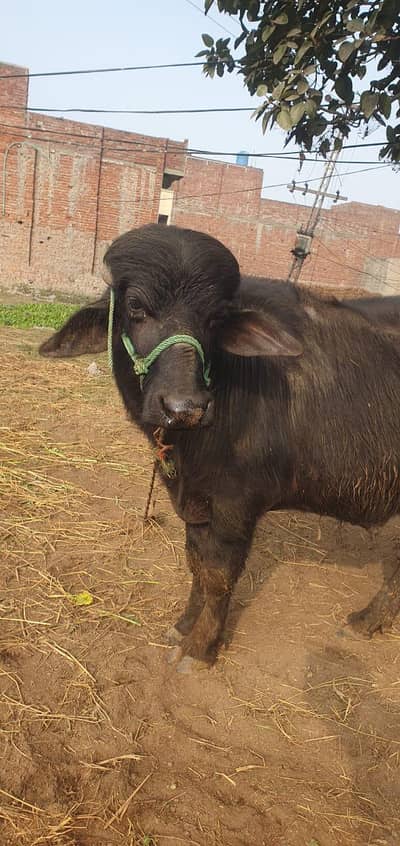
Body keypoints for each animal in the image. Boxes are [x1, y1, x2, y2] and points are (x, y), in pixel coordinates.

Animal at [40, 223, 400, 671]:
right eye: (136, 306)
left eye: (213, 318)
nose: (185, 408)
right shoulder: (194, 503)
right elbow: (196, 565)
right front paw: (182, 626)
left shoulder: (237, 507)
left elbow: (218, 577)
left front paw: (201, 648)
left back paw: (365, 620)